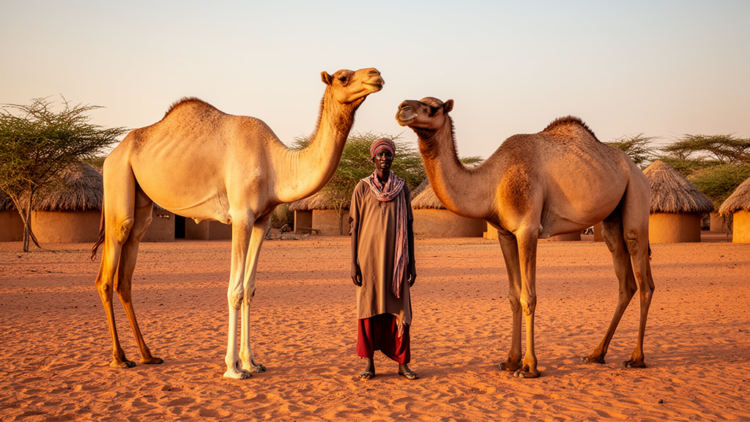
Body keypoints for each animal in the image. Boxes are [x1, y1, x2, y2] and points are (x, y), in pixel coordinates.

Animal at [91, 68, 384, 379]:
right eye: (343, 77)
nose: (376, 75)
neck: (276, 165)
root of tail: (111, 155)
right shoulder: (241, 216)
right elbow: (235, 290)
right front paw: (233, 368)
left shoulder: (261, 221)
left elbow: (250, 290)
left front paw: (252, 362)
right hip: (118, 179)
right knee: (107, 272)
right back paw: (120, 358)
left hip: (140, 200)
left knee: (126, 273)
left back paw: (147, 355)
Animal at [396, 97, 655, 378]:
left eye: (433, 108)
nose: (402, 108)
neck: (492, 181)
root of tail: (638, 171)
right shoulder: (505, 234)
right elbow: (513, 296)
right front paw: (510, 361)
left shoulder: (527, 229)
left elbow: (528, 297)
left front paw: (529, 367)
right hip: (612, 216)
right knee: (625, 278)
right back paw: (596, 354)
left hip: (637, 196)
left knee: (643, 275)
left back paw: (636, 358)